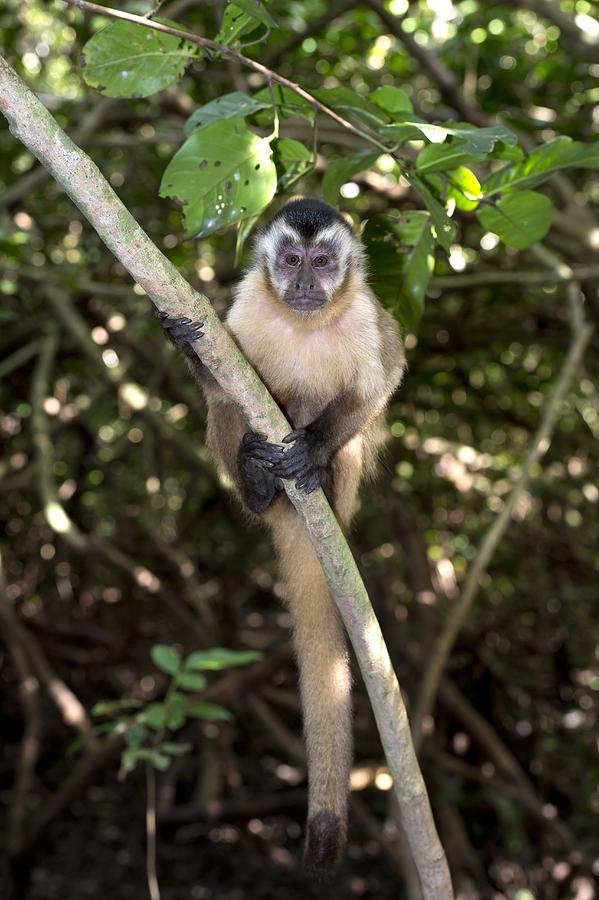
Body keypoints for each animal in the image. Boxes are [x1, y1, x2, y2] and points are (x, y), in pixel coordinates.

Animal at [159, 197, 406, 880]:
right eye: (291, 259)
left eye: (322, 262)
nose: (302, 283)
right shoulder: (246, 303)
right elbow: (220, 384)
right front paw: (186, 344)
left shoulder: (366, 313)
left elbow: (384, 380)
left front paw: (314, 451)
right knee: (229, 411)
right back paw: (257, 483)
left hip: (345, 493)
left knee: (352, 434)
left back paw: (313, 477)